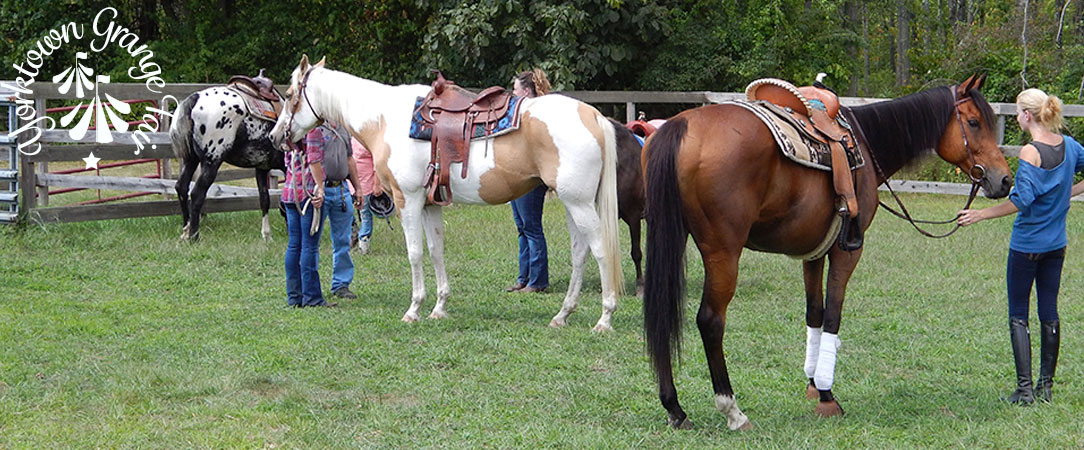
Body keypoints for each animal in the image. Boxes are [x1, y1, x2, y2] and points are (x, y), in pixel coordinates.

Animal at [170, 84, 286, 241]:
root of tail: (195, 99)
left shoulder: (261, 168)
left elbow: (264, 199)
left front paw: (266, 235)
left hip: (191, 160)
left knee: (181, 187)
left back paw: (185, 231)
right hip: (212, 162)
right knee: (196, 194)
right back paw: (194, 236)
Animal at [269, 55, 624, 331]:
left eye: (290, 94)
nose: (275, 136)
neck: (384, 118)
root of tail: (592, 114)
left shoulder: (407, 200)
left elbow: (414, 253)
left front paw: (413, 309)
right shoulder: (430, 204)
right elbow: (436, 250)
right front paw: (439, 308)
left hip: (578, 203)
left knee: (600, 251)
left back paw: (604, 319)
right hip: (572, 203)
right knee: (580, 253)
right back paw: (562, 315)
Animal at [637, 73, 1010, 429]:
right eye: (974, 122)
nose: (1005, 179)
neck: (866, 145)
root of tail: (680, 126)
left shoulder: (814, 252)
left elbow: (814, 313)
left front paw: (813, 383)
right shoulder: (847, 251)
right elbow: (833, 315)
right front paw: (828, 396)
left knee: (661, 310)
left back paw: (674, 408)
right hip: (723, 252)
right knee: (710, 321)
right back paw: (732, 411)